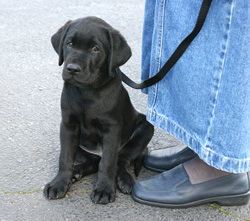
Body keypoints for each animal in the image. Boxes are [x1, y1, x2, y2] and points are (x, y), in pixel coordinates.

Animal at [44, 16, 154, 205]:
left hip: (146, 128)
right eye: (69, 44)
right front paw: (59, 183)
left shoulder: (112, 129)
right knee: (93, 162)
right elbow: (65, 158)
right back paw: (76, 172)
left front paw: (104, 189)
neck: (87, 91)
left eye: (95, 49)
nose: (72, 68)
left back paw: (125, 180)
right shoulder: (68, 125)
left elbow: (108, 163)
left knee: (120, 161)